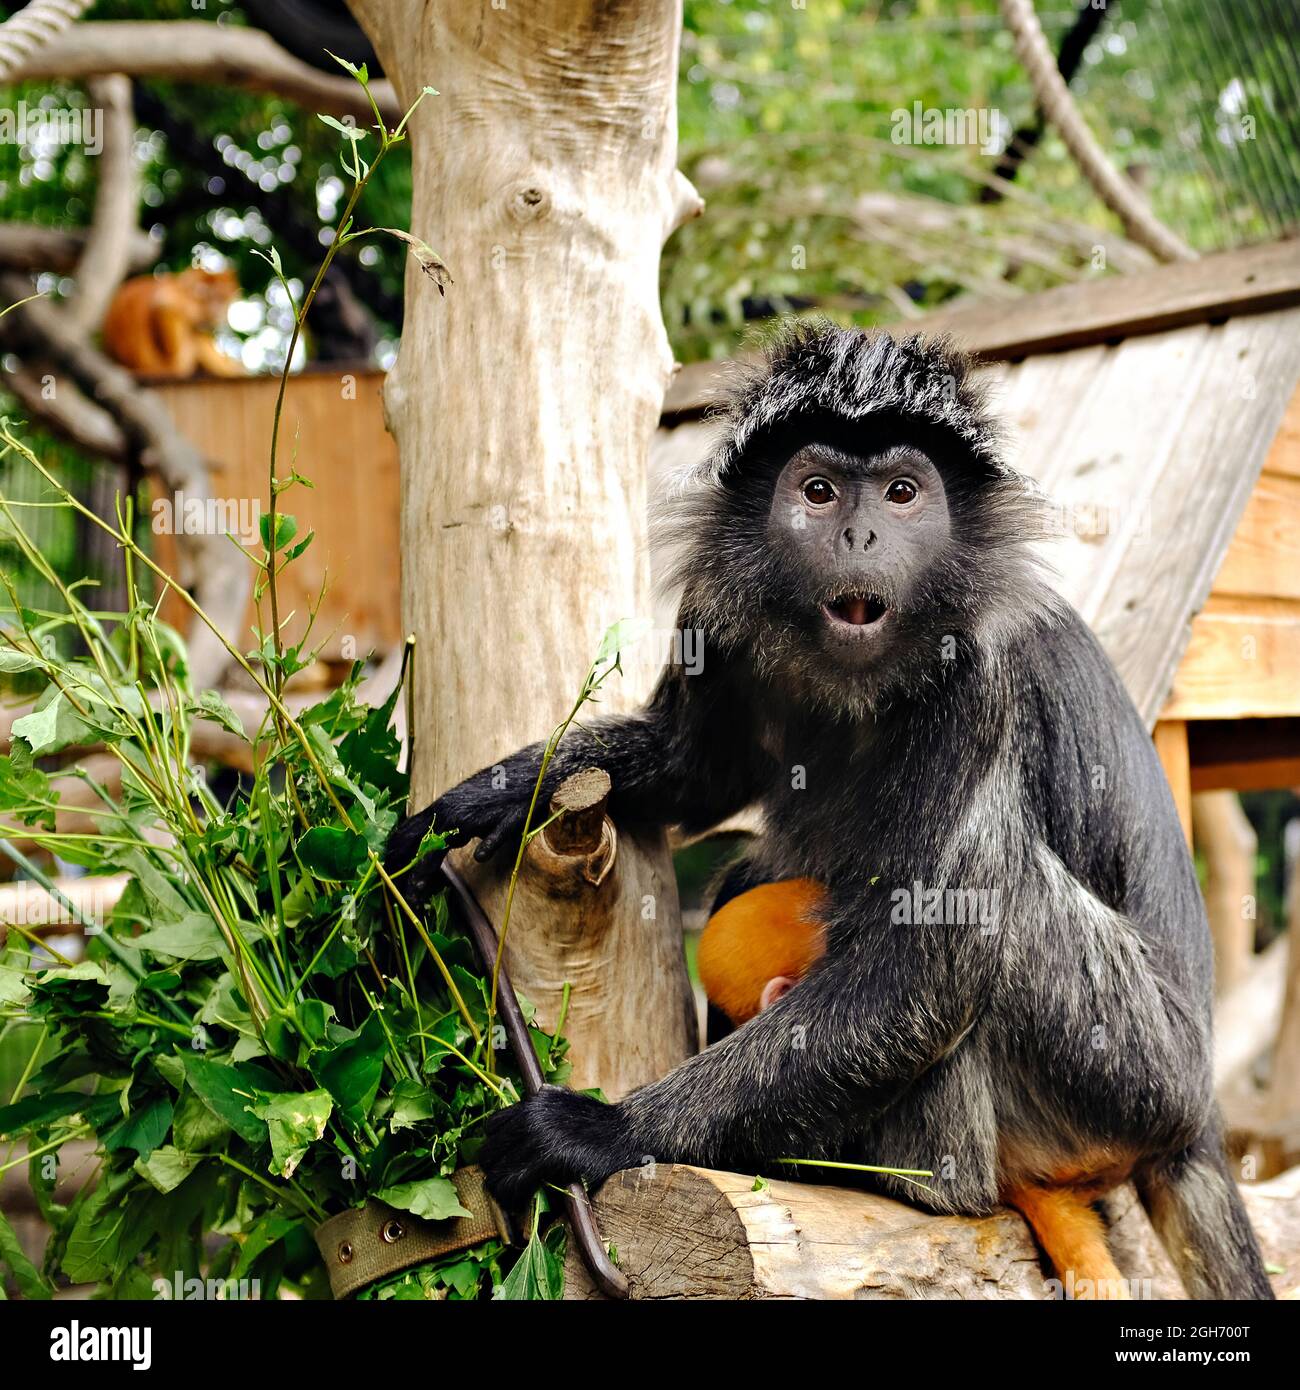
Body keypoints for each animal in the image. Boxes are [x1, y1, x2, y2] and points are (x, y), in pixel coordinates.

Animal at [386, 325, 1274, 1300]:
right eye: (817, 492)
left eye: (902, 492)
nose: (860, 532)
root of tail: (1198, 1121)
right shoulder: (715, 609)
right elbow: (695, 770)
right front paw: (489, 797)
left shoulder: (983, 674)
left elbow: (922, 966)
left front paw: (595, 1136)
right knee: (752, 869)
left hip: (1127, 1070)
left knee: (1000, 909)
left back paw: (916, 1178)